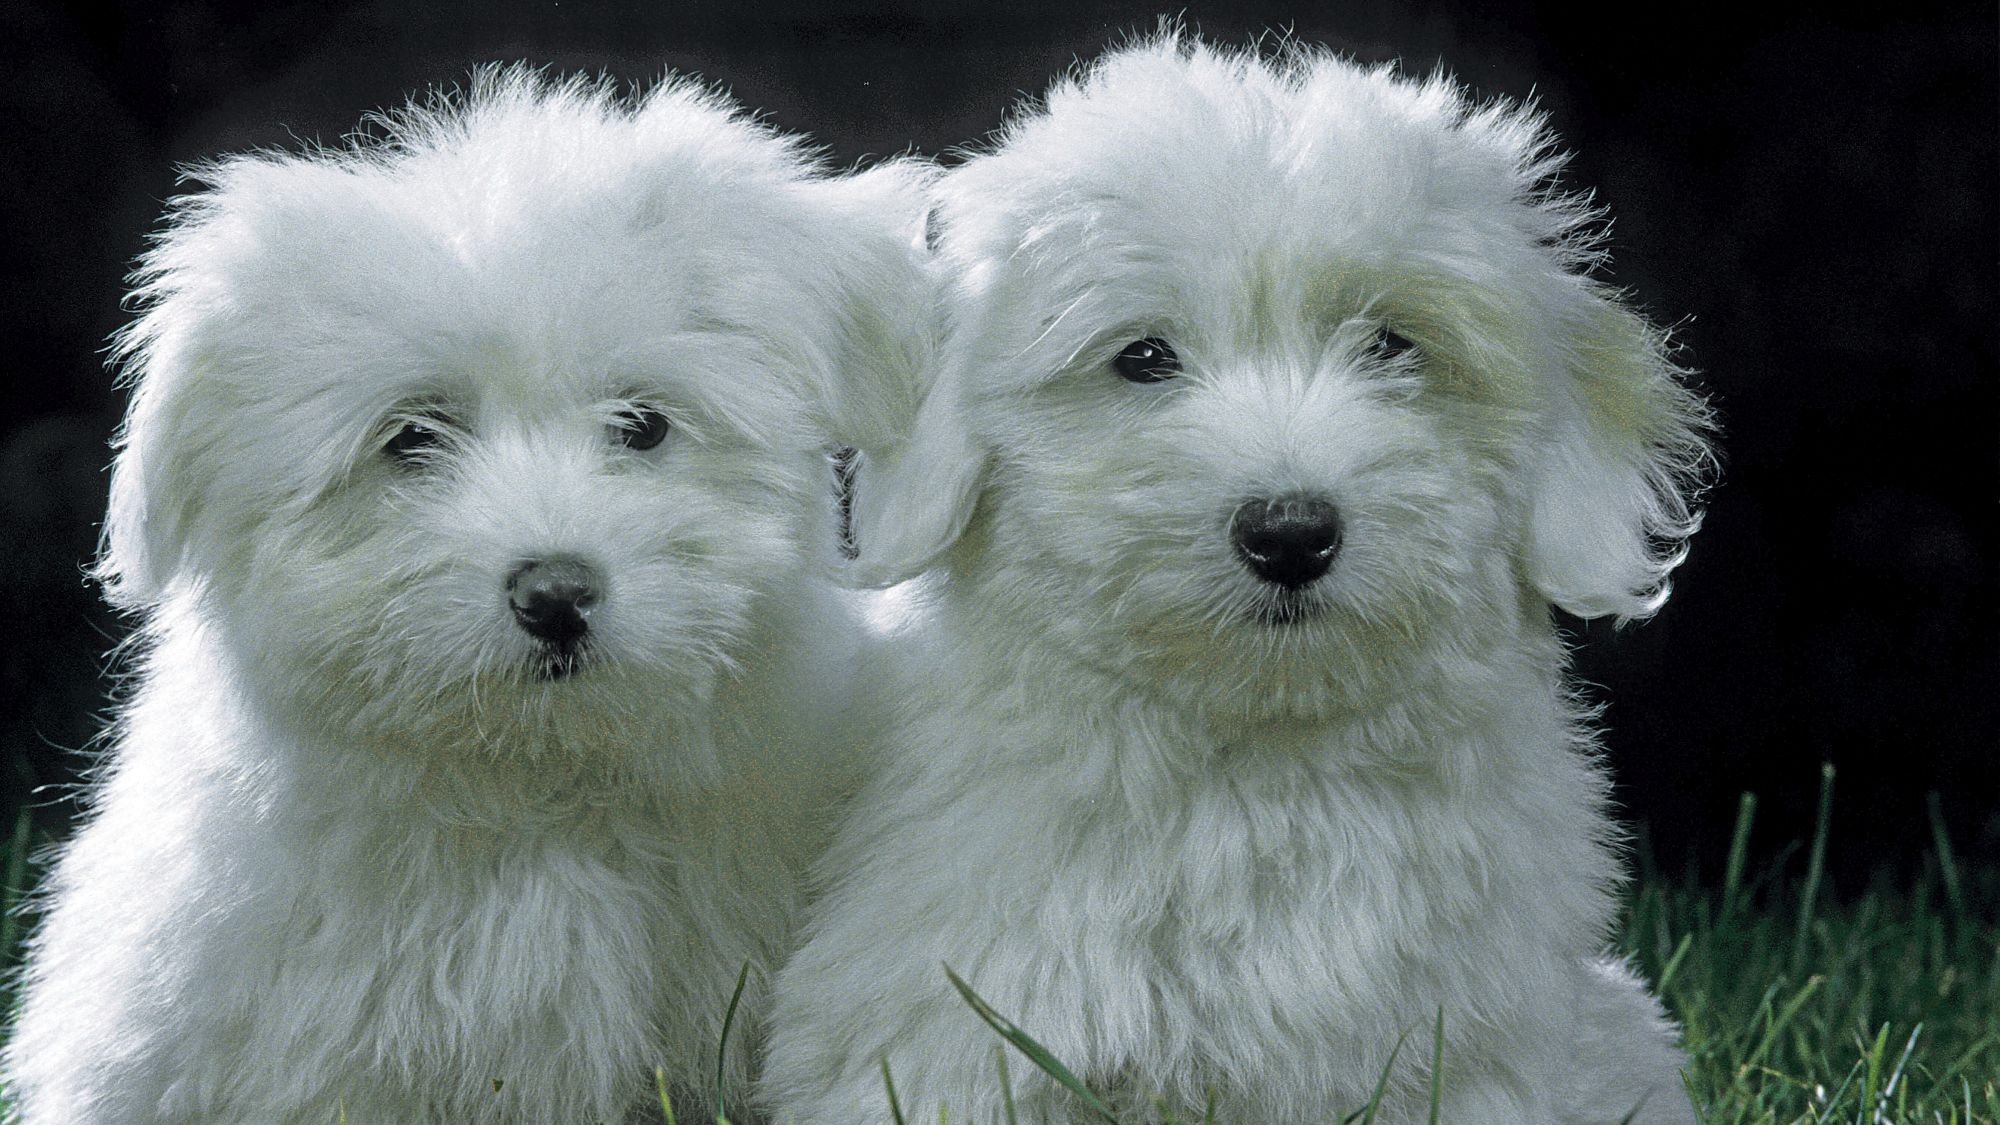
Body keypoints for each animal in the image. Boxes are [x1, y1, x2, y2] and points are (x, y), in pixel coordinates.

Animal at [756, 35, 1712, 1120]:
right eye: (1142, 358)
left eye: (1391, 345)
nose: (1290, 533)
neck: (1255, 768)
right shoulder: (951, 1023)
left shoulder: (1474, 1045)